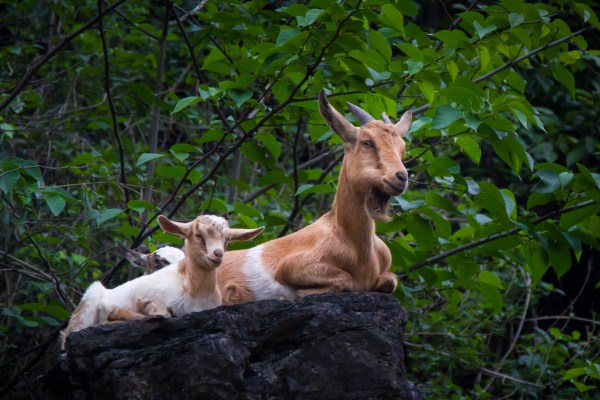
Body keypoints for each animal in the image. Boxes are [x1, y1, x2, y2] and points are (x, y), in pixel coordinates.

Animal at [61, 214, 263, 349]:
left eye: (227, 239)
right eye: (198, 235)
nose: (218, 254)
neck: (194, 292)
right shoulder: (146, 295)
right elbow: (162, 314)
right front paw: (116, 315)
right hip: (87, 304)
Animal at [216, 89, 412, 303]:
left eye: (402, 148)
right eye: (367, 142)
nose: (401, 177)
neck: (357, 246)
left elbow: (390, 280)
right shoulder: (289, 266)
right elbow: (345, 279)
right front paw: (299, 294)